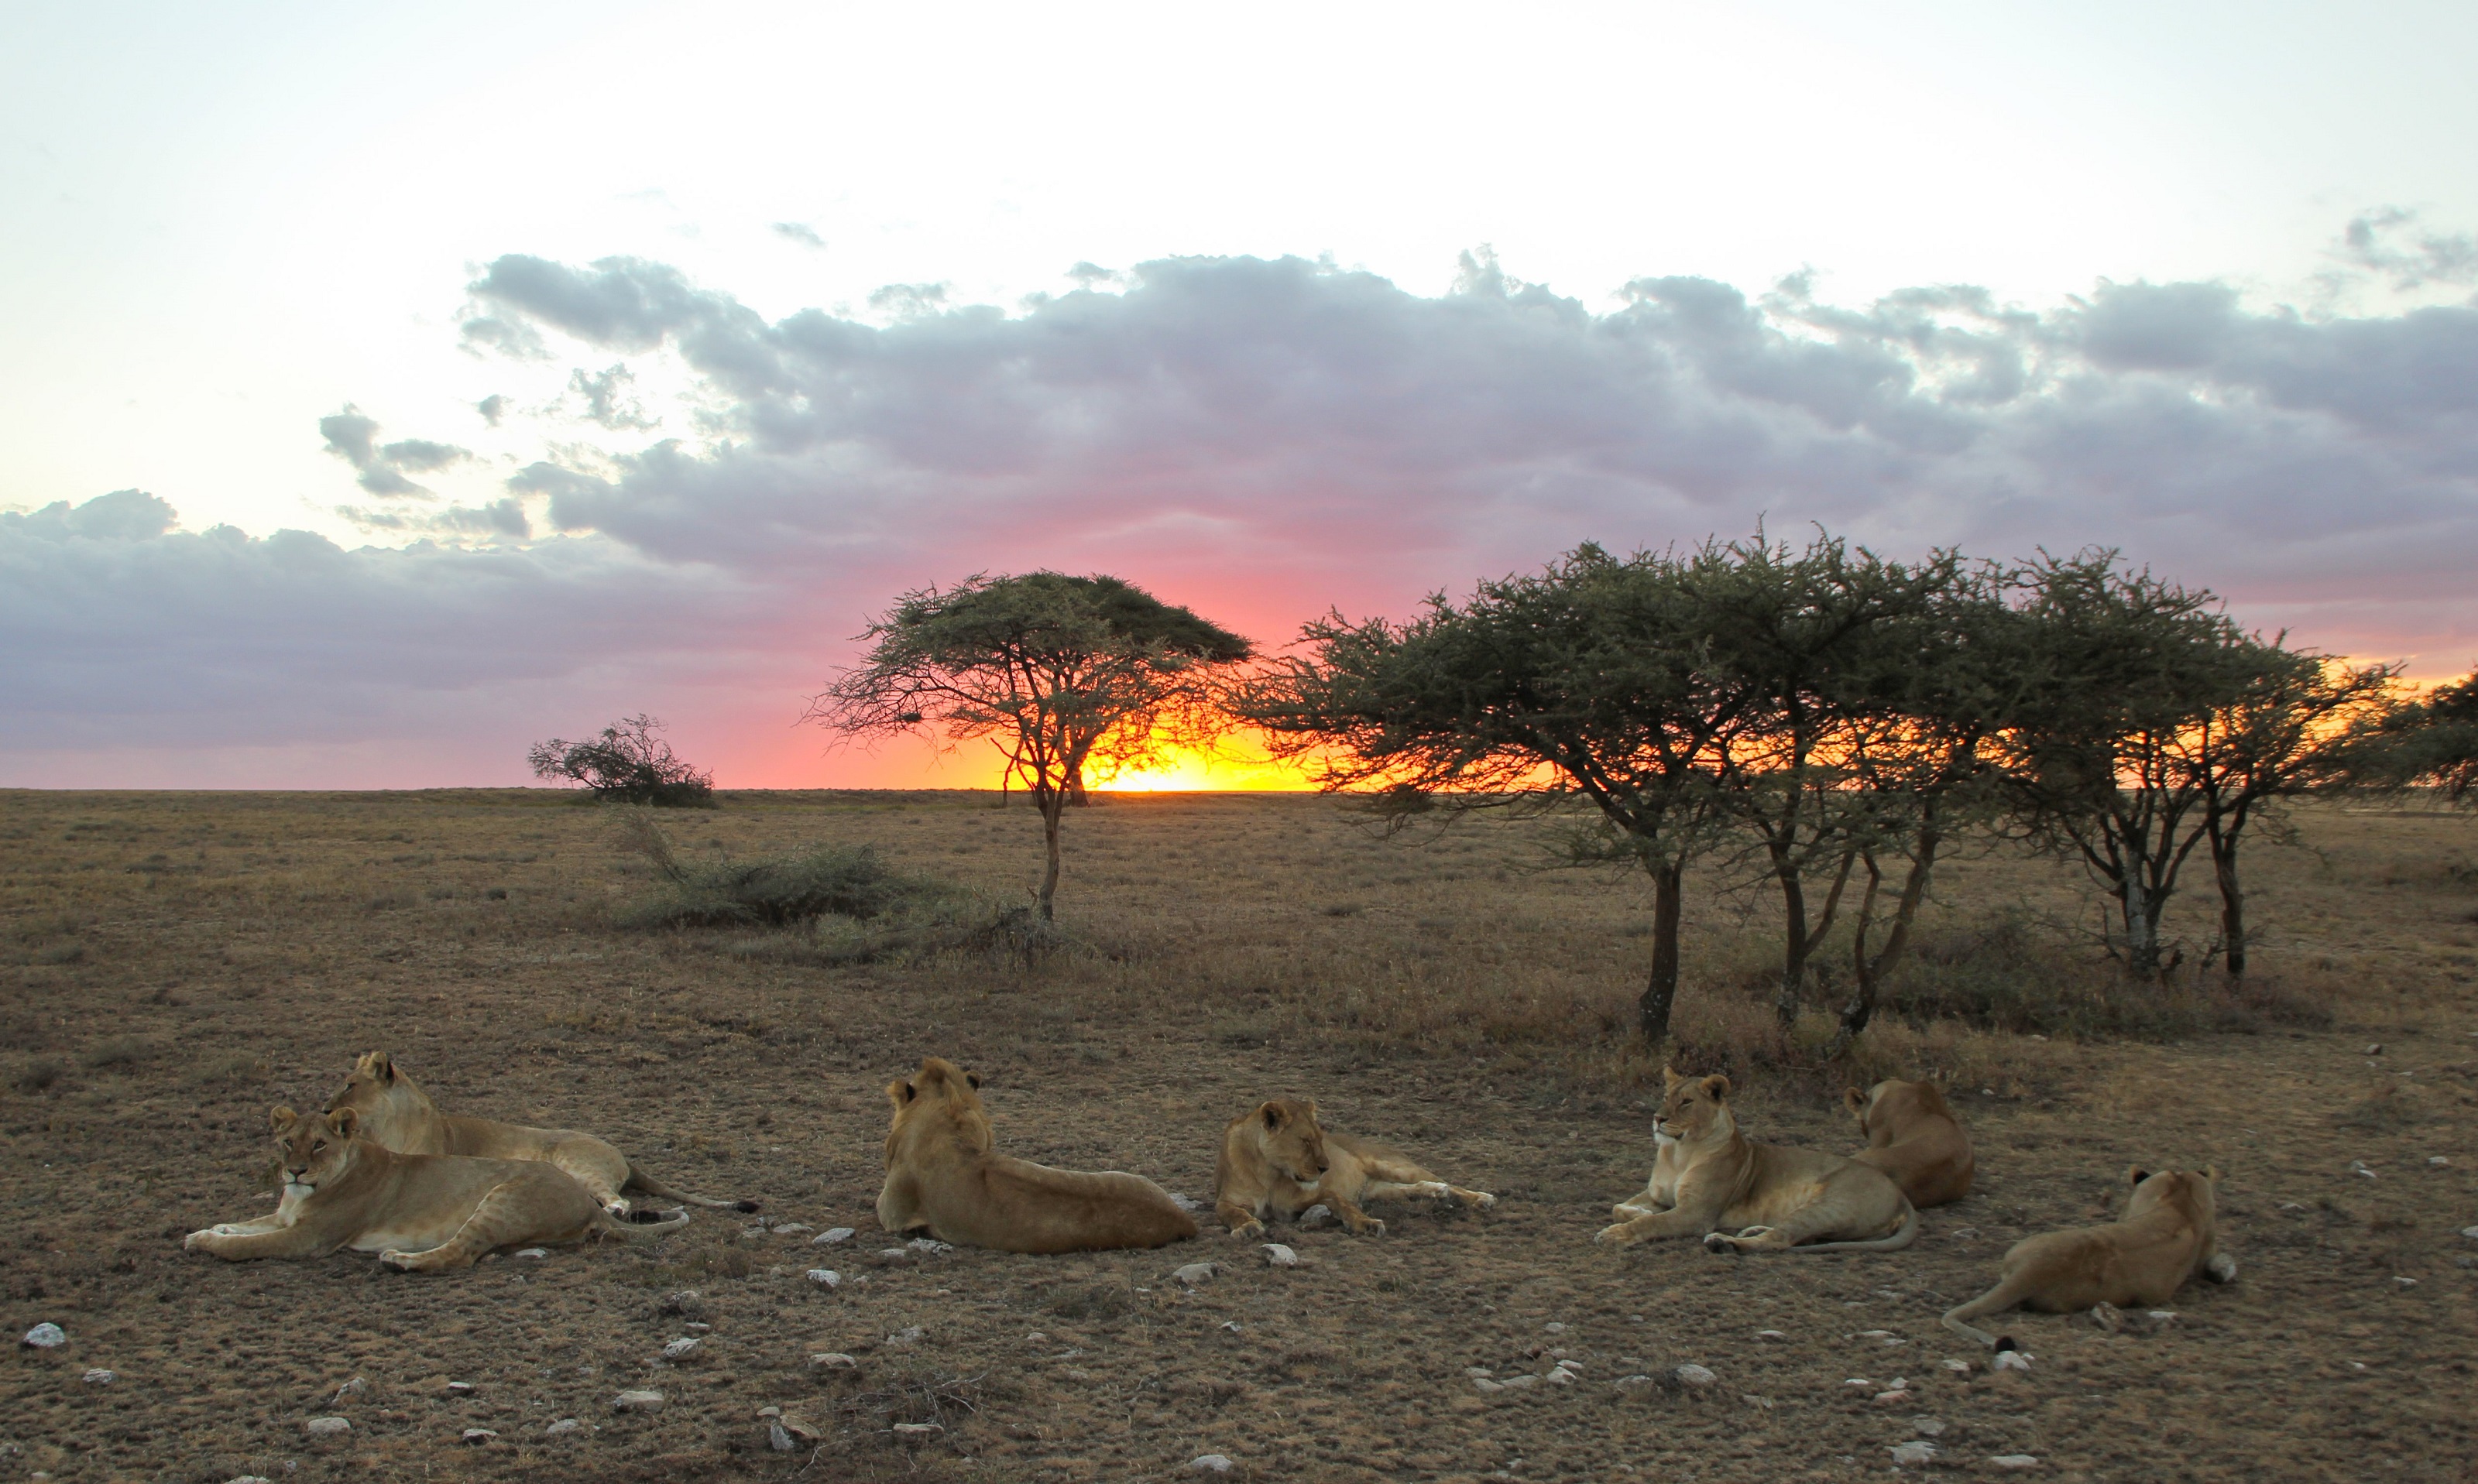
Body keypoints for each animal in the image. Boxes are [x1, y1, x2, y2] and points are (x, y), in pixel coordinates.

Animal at [183, 1106, 687, 1270]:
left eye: (320, 1144)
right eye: (288, 1142)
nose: (295, 1171)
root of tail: (587, 1202)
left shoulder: (310, 1237)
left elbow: (249, 1245)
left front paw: (208, 1243)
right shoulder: (284, 1216)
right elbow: (247, 1224)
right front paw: (208, 1230)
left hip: (501, 1200)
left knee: (460, 1255)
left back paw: (400, 1261)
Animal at [325, 1051, 753, 1215]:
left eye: (349, 1084)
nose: (326, 1109)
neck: (387, 1129)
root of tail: (622, 1155)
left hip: (575, 1164)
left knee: (619, 1199)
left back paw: (612, 1210)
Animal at [1214, 1098, 1494, 1238]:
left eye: (1321, 1138)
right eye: (1305, 1141)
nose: (1325, 1168)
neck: (1269, 1173)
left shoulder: (1315, 1195)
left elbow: (1345, 1205)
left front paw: (1366, 1224)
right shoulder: (1226, 1200)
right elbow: (1233, 1213)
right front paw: (1247, 1227)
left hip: (1392, 1165)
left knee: (1446, 1181)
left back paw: (1481, 1198)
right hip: (1381, 1191)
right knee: (1414, 1187)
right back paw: (1436, 1192)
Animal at [1595, 1066, 1918, 1253]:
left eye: (1686, 1102)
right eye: (1665, 1097)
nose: (1657, 1118)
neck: (1678, 1153)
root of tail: (1902, 1196)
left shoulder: (1697, 1213)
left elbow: (1652, 1224)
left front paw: (1617, 1234)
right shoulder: (1657, 1195)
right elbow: (1618, 1207)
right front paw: (1638, 1212)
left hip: (1829, 1206)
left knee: (1780, 1241)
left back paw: (1723, 1243)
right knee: (1798, 1236)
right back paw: (1749, 1230)